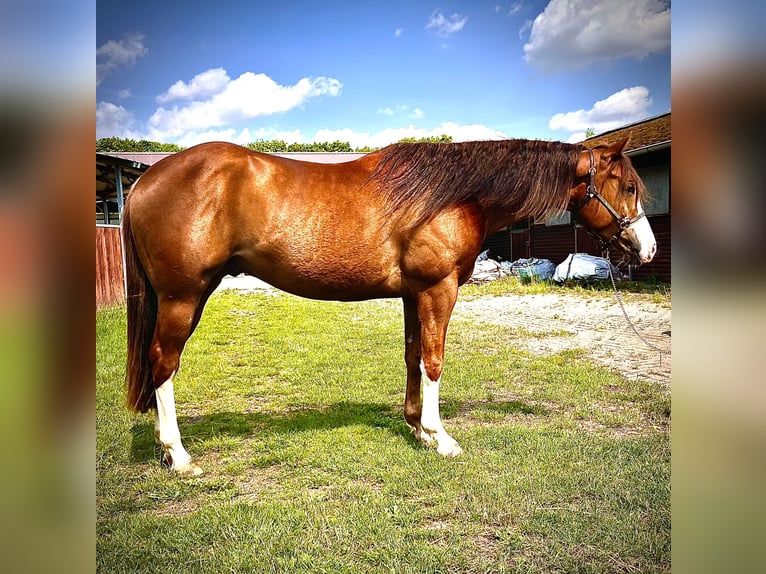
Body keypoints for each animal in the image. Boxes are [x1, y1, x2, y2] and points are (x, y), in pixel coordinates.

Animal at [123, 138, 656, 475]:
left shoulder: (413, 294)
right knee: (163, 364)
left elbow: (413, 356)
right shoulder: (439, 290)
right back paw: (178, 455)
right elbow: (435, 361)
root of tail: (144, 182)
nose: (648, 250)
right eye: (629, 187)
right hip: (183, 297)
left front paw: (418, 429)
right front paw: (441, 438)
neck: (454, 196)